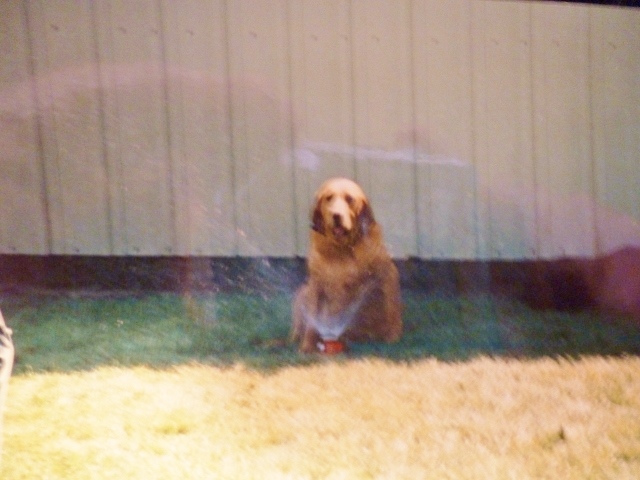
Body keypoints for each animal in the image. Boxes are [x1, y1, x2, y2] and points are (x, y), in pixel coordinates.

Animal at [292, 176, 402, 352]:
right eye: (328, 198)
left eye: (350, 199)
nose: (336, 215)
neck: (342, 248)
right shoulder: (316, 284)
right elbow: (313, 322)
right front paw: (307, 346)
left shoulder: (387, 276)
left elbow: (391, 312)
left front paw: (393, 337)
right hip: (303, 292)